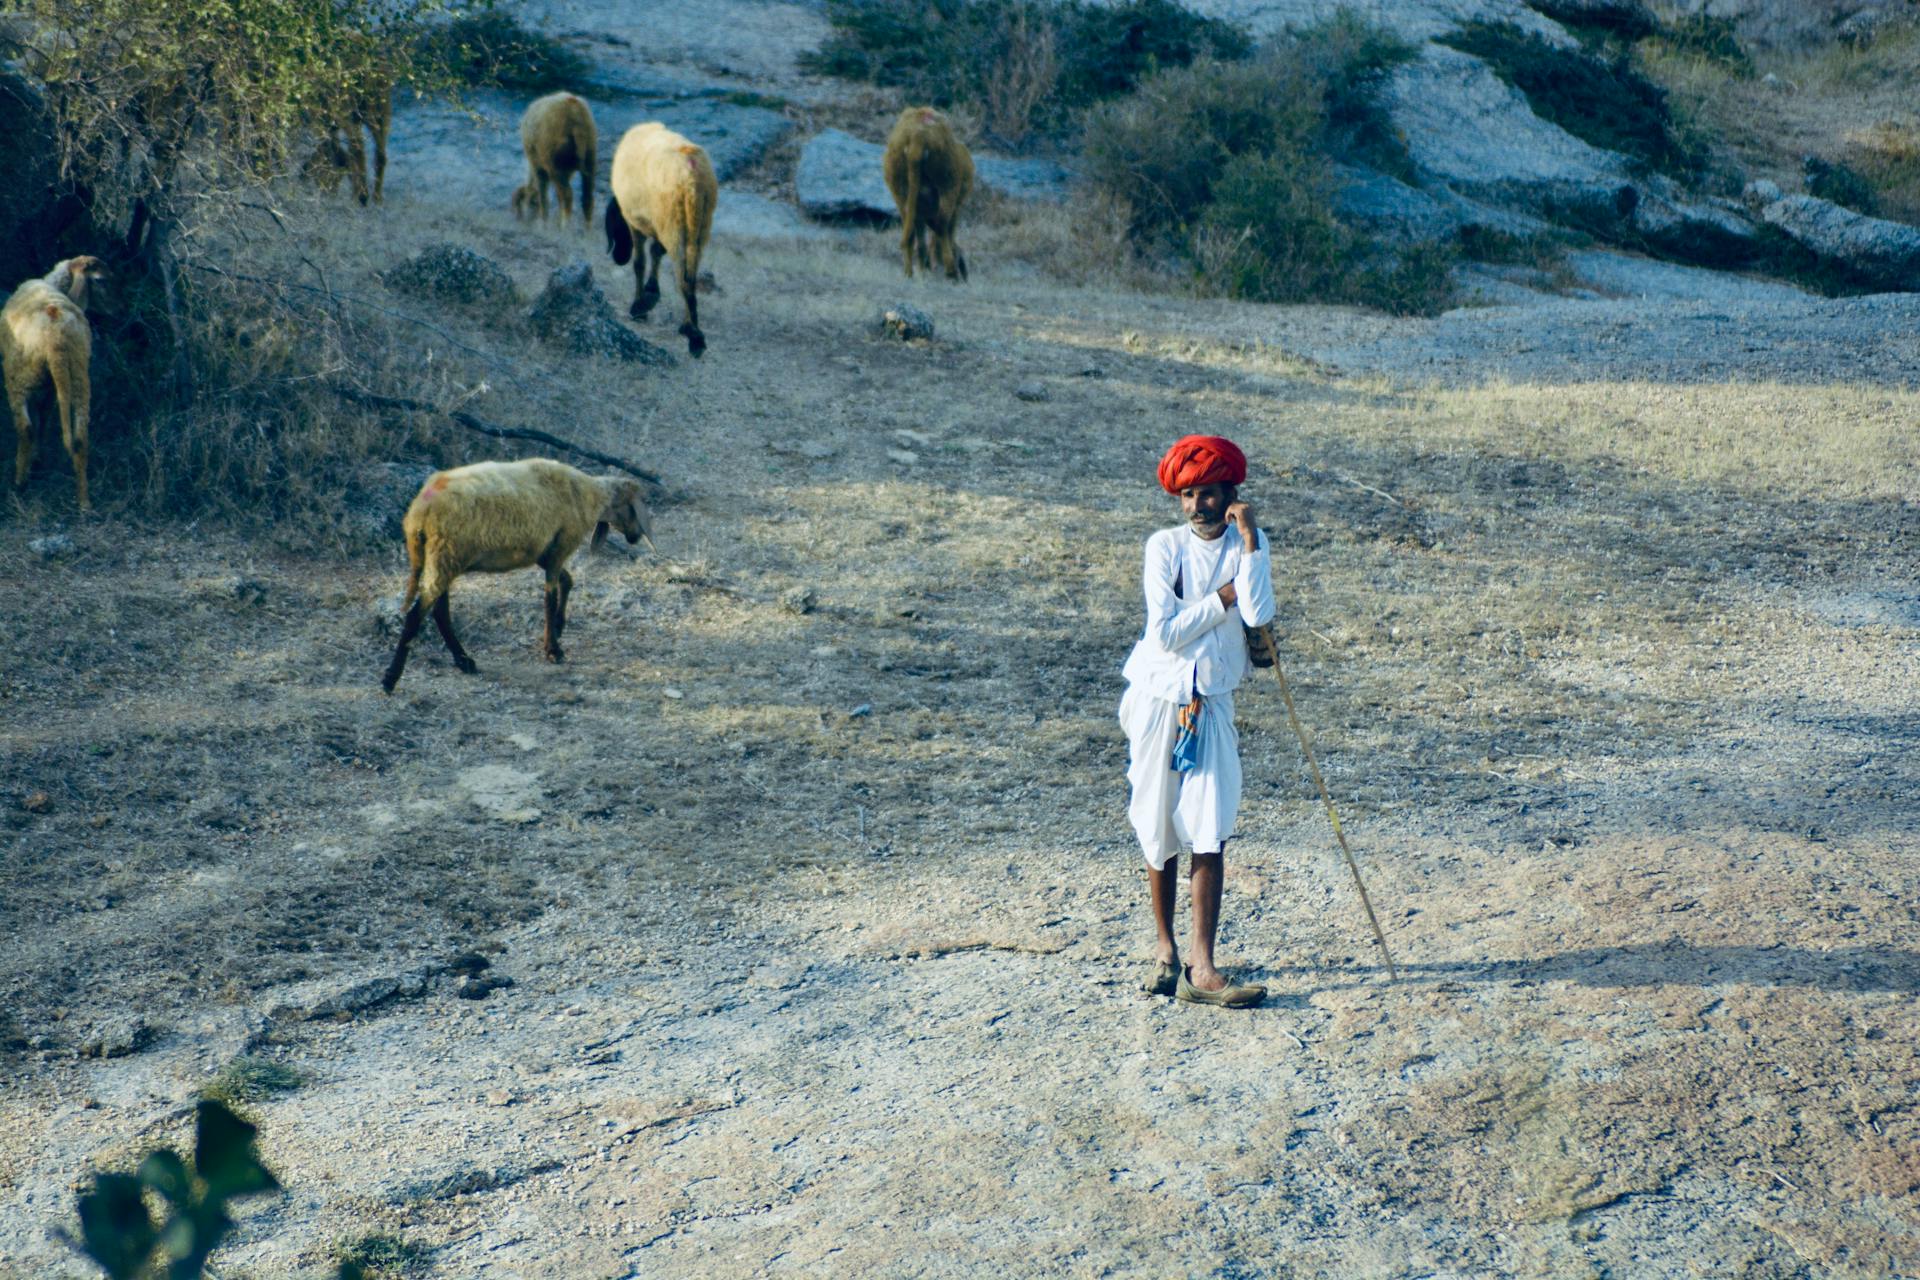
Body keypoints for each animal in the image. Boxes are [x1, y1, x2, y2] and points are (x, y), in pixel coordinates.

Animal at [4, 255, 108, 510]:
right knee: (80, 437)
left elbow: (38, 420)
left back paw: (20, 483)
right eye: (100, 280)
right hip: (78, 376)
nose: (117, 307)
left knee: (26, 428)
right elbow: (44, 417)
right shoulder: (52, 388)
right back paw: (84, 501)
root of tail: (56, 337)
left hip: (20, 378)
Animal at [378, 460, 656, 694]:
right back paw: (391, 678)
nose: (635, 538)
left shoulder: (543, 552)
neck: (589, 494)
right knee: (417, 614)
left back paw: (463, 660)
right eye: (635, 507)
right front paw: (553, 649)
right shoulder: (560, 547)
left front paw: (559, 626)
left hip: (441, 559)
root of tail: (420, 511)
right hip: (446, 555)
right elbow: (549, 598)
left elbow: (567, 581)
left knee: (439, 611)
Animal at [510, 91, 599, 229]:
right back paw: (587, 230)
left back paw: (564, 227)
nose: (519, 219)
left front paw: (543, 222)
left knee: (567, 196)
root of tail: (575, 116)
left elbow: (543, 194)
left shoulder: (539, 167)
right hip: (590, 156)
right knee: (587, 198)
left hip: (555, 162)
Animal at [602, 123, 718, 358]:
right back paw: (692, 328)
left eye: (614, 225)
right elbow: (656, 252)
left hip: (673, 223)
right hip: (699, 226)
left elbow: (640, 263)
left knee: (682, 276)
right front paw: (651, 292)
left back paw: (693, 336)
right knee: (691, 275)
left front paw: (640, 306)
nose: (618, 258)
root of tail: (692, 173)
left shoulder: (635, 222)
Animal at [883, 107, 975, 282]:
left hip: (899, 188)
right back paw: (950, 271)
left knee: (911, 229)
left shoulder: (920, 210)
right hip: (948, 185)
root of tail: (916, 139)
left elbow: (921, 237)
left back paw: (910, 272)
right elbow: (946, 230)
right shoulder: (953, 205)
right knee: (941, 225)